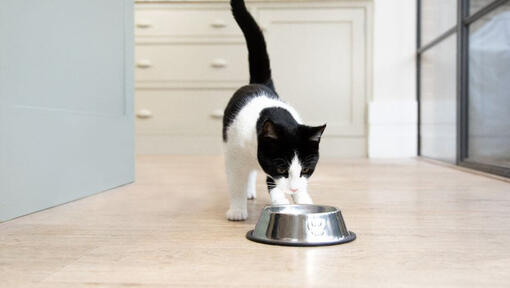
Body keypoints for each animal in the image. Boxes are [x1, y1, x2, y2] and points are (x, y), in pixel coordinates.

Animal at [223, 0, 326, 220]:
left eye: (306, 169)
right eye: (281, 167)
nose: (293, 189)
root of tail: (260, 84)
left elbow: (274, 181)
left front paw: (301, 199)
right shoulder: (235, 154)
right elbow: (236, 182)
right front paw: (237, 210)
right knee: (246, 174)